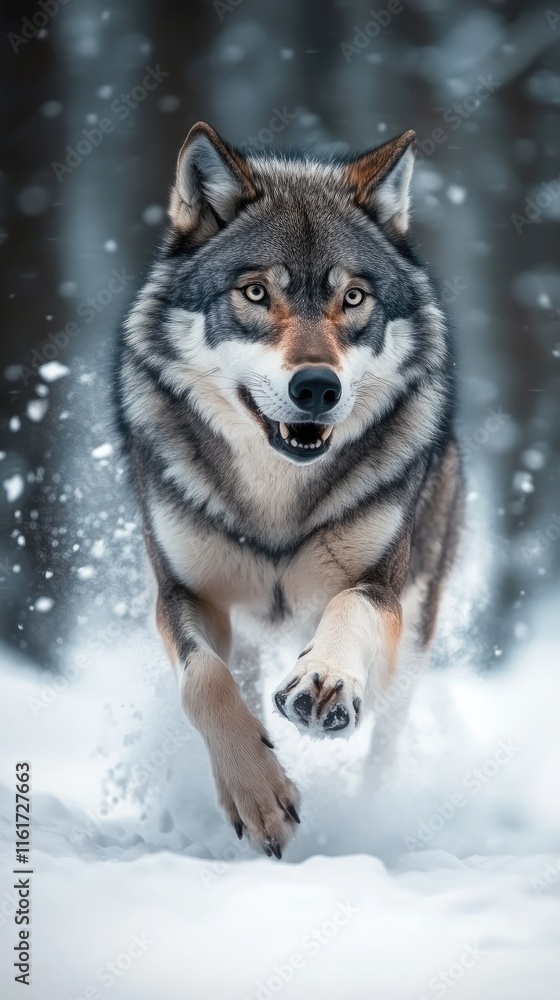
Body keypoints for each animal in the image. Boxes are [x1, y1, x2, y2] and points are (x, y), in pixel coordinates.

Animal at [115, 122, 463, 859]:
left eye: (352, 298)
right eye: (255, 294)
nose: (317, 388)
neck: (279, 500)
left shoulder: (380, 590)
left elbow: (348, 613)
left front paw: (322, 683)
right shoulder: (182, 595)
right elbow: (204, 682)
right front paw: (258, 794)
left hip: (417, 631)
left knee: (385, 737)